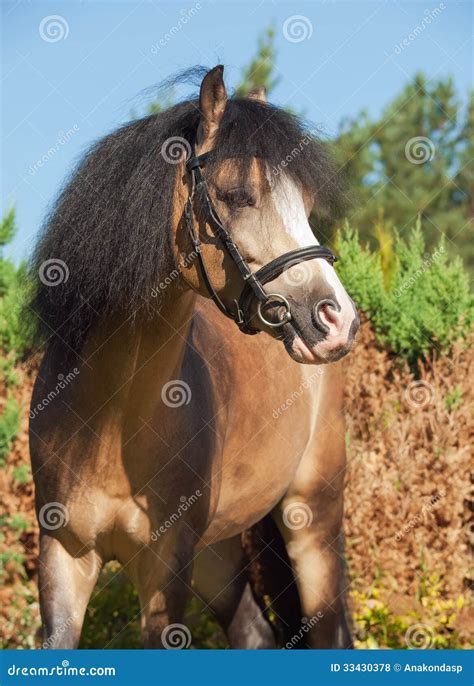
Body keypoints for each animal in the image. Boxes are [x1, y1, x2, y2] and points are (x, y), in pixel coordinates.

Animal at [28, 64, 360, 652]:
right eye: (237, 195)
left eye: (304, 203)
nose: (335, 319)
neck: (112, 419)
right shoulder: (63, 559)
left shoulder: (166, 569)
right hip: (216, 553)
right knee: (254, 632)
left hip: (311, 520)